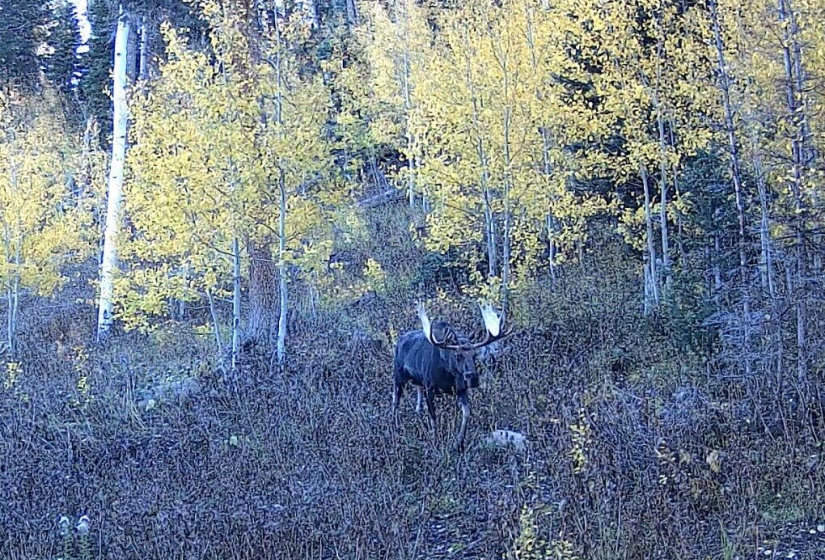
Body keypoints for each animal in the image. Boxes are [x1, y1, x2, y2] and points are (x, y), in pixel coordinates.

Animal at [392, 302, 508, 450]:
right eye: (457, 355)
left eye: (475, 355)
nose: (473, 378)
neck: (447, 373)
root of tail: (399, 340)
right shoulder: (430, 388)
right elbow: (433, 418)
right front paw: (435, 442)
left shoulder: (461, 390)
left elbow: (467, 412)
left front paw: (459, 442)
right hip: (399, 377)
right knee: (395, 401)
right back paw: (396, 428)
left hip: (418, 382)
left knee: (418, 403)